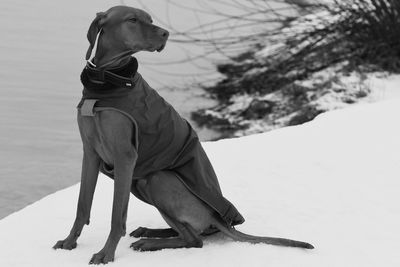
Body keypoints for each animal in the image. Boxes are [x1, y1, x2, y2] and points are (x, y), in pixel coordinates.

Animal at [53, 6, 314, 266]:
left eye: (150, 19)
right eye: (133, 20)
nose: (165, 34)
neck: (107, 81)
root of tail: (217, 218)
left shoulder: (125, 158)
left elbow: (118, 216)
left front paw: (106, 253)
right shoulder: (90, 153)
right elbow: (82, 206)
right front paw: (69, 241)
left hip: (156, 179)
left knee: (194, 239)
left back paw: (150, 242)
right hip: (142, 184)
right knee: (188, 231)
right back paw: (151, 232)